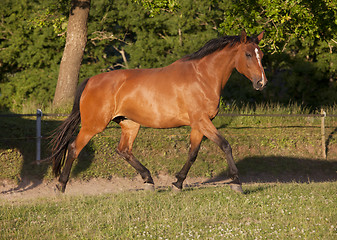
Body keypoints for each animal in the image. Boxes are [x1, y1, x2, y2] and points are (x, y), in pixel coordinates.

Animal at [48, 30, 266, 193]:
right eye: (248, 54)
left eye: (261, 55)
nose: (261, 83)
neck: (202, 77)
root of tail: (91, 80)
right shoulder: (202, 121)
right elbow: (225, 145)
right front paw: (236, 182)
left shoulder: (198, 125)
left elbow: (193, 153)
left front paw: (177, 183)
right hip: (93, 125)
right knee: (74, 148)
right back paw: (61, 186)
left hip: (129, 124)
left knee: (124, 150)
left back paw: (149, 181)